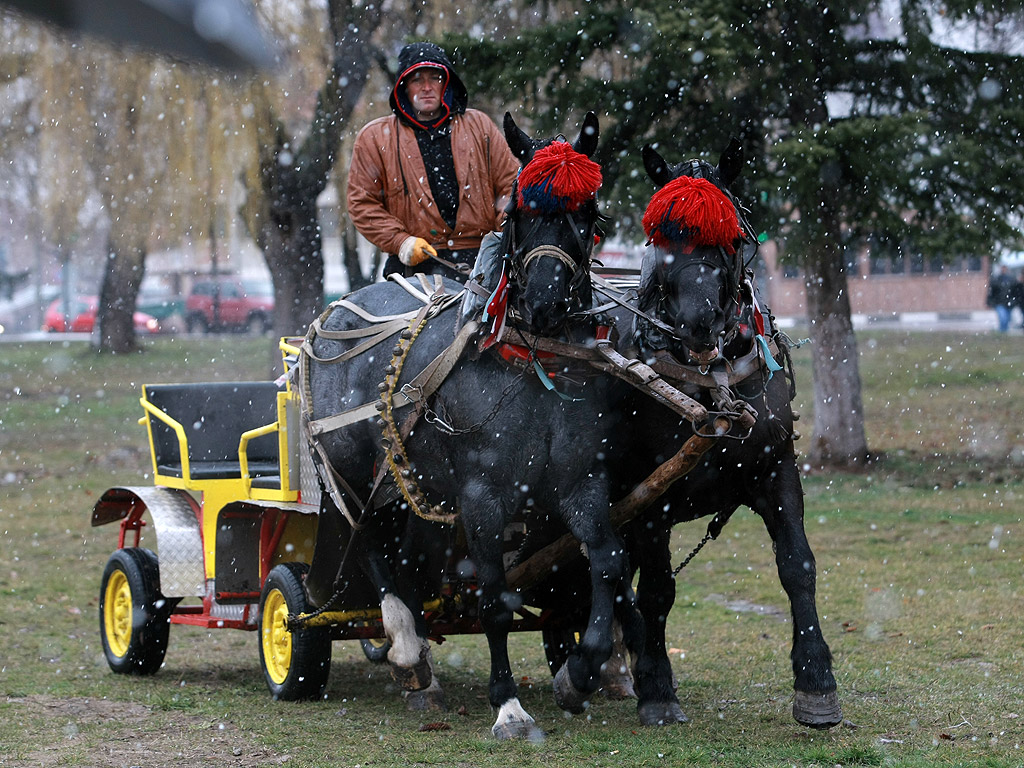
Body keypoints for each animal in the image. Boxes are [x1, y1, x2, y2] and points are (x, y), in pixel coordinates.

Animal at [299, 112, 643, 741]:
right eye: (519, 212)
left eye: (587, 213)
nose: (545, 299)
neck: (530, 362)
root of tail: (331, 316)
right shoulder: (483, 498)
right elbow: (494, 600)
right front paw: (508, 705)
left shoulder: (582, 483)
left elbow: (607, 562)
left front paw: (582, 672)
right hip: (356, 477)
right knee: (375, 553)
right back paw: (407, 650)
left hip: (405, 485)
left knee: (405, 557)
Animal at [593, 143, 839, 729]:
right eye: (661, 241)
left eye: (729, 240)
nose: (699, 322)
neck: (713, 380)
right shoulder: (651, 497)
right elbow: (657, 590)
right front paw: (658, 687)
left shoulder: (776, 471)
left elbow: (797, 565)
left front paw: (816, 681)